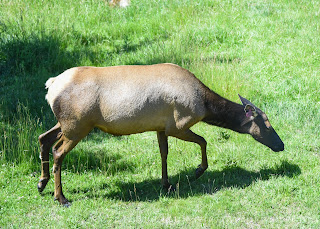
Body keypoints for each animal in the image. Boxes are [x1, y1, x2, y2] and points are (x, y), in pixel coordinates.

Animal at [38, 63, 284, 207]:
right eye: (267, 126)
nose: (281, 145)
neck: (205, 106)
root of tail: (51, 86)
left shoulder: (160, 127)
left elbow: (164, 153)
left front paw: (166, 183)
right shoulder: (178, 124)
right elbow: (203, 141)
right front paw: (197, 171)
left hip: (67, 124)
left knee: (43, 138)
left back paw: (42, 183)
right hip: (78, 125)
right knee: (58, 151)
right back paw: (61, 197)